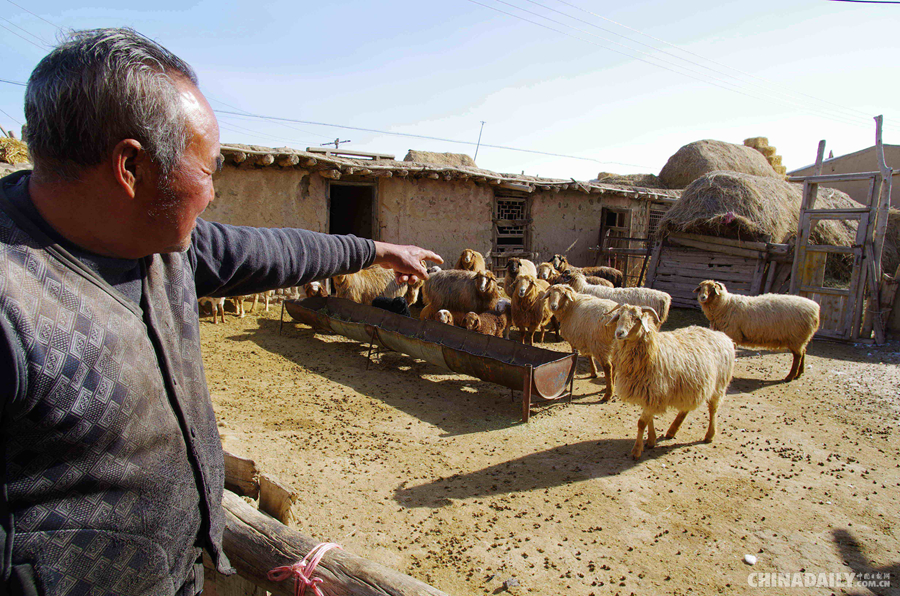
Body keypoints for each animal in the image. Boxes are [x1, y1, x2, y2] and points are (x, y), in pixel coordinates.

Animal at [604, 304, 740, 458]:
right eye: (619, 316)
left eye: (637, 318)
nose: (619, 333)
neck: (653, 352)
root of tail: (724, 337)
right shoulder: (649, 394)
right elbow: (649, 420)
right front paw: (651, 440)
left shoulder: (654, 392)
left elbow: (641, 422)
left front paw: (637, 450)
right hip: (691, 385)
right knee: (686, 408)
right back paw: (672, 431)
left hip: (719, 384)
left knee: (713, 409)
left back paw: (709, 435)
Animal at [696, 280, 824, 382]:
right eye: (701, 287)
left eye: (712, 288)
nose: (702, 297)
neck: (725, 304)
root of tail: (815, 308)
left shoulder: (732, 334)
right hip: (801, 338)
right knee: (803, 352)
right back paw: (799, 373)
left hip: (796, 337)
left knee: (798, 356)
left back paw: (790, 377)